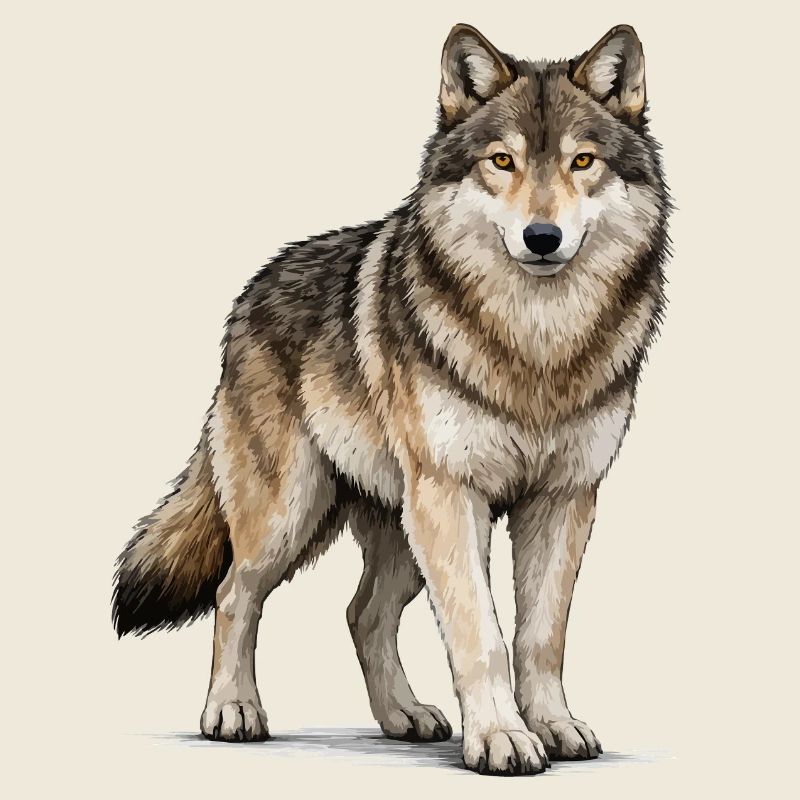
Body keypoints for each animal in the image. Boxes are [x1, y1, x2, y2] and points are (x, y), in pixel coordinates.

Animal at [113, 23, 670, 775]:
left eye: (582, 161)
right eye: (502, 161)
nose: (542, 238)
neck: (536, 345)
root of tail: (250, 291)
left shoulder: (564, 499)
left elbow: (540, 636)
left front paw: (552, 726)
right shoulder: (452, 496)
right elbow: (482, 636)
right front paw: (500, 738)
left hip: (400, 529)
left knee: (362, 614)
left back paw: (403, 715)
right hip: (294, 513)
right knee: (235, 593)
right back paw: (232, 711)